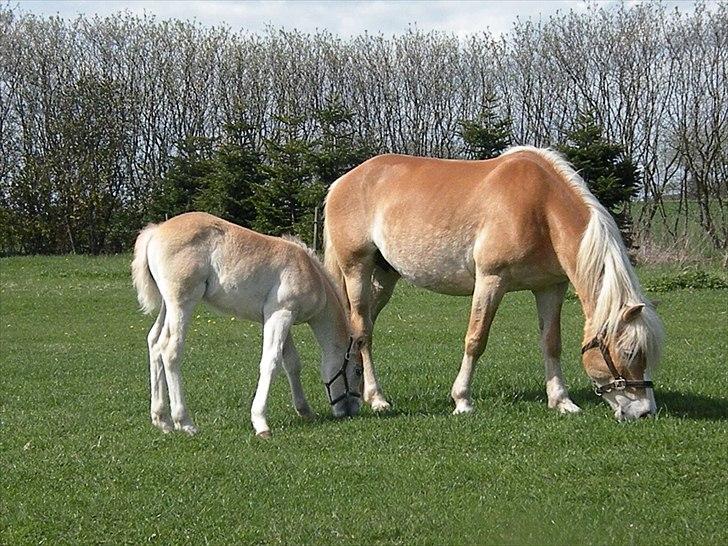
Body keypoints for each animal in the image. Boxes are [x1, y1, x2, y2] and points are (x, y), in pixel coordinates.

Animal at [132, 210, 364, 436]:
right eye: (358, 371)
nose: (351, 410)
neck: (309, 272)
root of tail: (156, 231)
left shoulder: (279, 319)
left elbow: (292, 364)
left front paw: (304, 410)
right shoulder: (281, 314)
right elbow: (271, 362)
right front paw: (261, 423)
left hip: (167, 306)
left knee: (154, 343)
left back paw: (162, 421)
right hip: (182, 303)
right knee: (170, 350)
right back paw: (185, 422)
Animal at [324, 147, 664, 418]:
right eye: (629, 353)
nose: (644, 412)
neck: (541, 208)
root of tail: (342, 183)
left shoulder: (550, 287)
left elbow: (551, 342)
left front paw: (562, 401)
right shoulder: (491, 280)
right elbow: (476, 339)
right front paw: (462, 401)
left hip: (384, 278)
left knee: (360, 329)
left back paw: (358, 391)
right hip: (357, 270)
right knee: (363, 332)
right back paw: (377, 398)